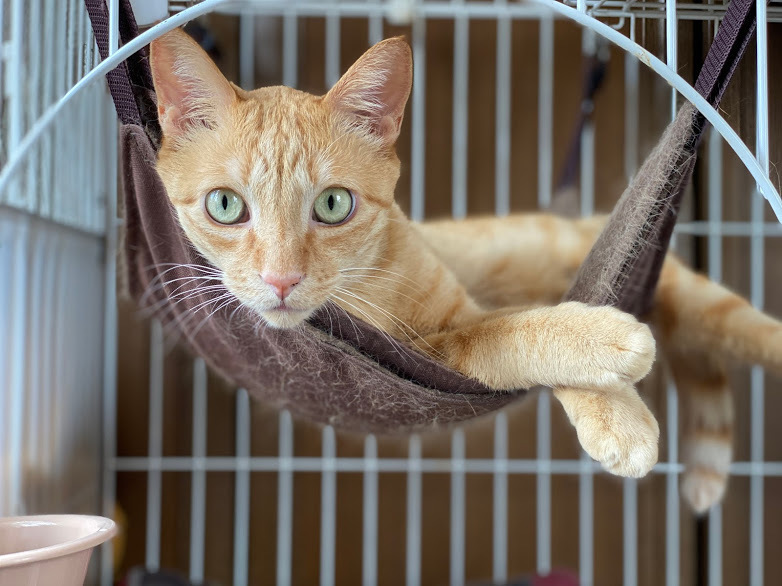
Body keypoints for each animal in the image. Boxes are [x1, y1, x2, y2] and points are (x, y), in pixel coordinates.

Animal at [148, 29, 782, 513]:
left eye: (332, 204)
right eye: (225, 205)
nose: (281, 281)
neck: (375, 279)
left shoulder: (456, 322)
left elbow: (521, 320)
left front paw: (613, 398)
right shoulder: (442, 347)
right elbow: (517, 331)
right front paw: (613, 385)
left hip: (698, 302)